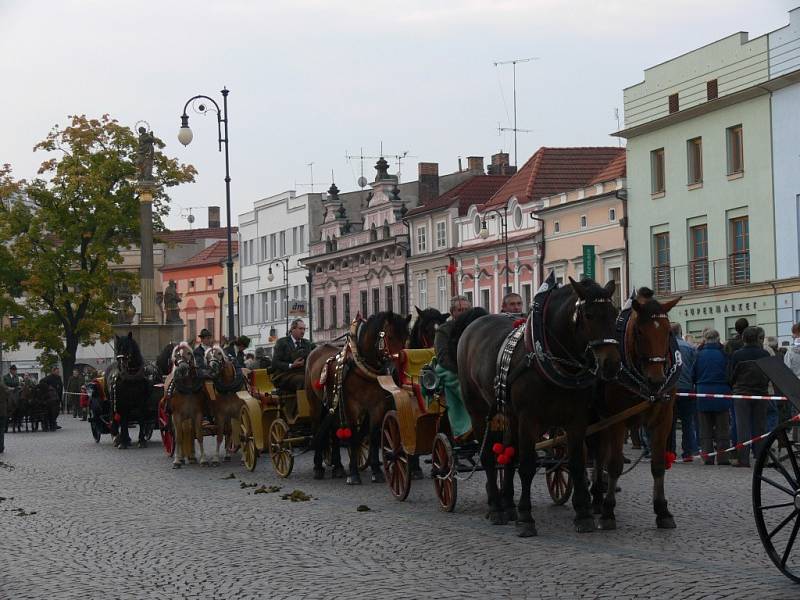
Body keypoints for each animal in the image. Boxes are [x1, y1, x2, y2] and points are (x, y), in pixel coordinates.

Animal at [304, 312, 410, 486]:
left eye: (406, 337)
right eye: (390, 336)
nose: (396, 371)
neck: (362, 369)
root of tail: (315, 351)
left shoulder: (377, 406)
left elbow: (374, 436)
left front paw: (376, 471)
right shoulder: (352, 407)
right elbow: (353, 435)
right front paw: (353, 474)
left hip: (333, 404)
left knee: (333, 431)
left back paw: (338, 467)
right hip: (315, 404)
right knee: (317, 428)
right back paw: (318, 467)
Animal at [456, 276, 620, 536]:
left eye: (613, 313)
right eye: (589, 315)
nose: (611, 364)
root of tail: (472, 325)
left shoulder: (577, 420)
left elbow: (576, 464)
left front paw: (583, 515)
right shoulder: (529, 419)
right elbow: (527, 465)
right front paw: (526, 517)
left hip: (508, 415)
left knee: (508, 454)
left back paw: (507, 505)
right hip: (478, 410)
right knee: (489, 457)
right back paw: (496, 508)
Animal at [588, 288, 680, 528]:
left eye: (668, 332)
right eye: (639, 332)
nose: (657, 379)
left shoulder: (664, 419)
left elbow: (658, 464)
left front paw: (662, 510)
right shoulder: (617, 420)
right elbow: (615, 465)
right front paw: (608, 511)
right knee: (596, 456)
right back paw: (596, 498)